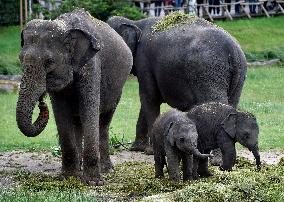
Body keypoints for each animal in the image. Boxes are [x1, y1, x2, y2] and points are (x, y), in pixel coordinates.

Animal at [16, 9, 133, 186]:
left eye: (49, 62)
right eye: (20, 59)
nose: (42, 102)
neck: (66, 26)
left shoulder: (92, 63)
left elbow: (88, 110)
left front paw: (93, 182)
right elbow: (62, 115)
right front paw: (68, 178)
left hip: (119, 87)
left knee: (104, 121)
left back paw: (106, 170)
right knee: (77, 122)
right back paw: (80, 169)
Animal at [107, 13, 247, 153]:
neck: (135, 22)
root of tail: (233, 50)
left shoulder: (144, 62)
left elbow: (149, 98)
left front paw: (150, 151)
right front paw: (137, 149)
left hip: (209, 71)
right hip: (238, 74)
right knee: (232, 102)